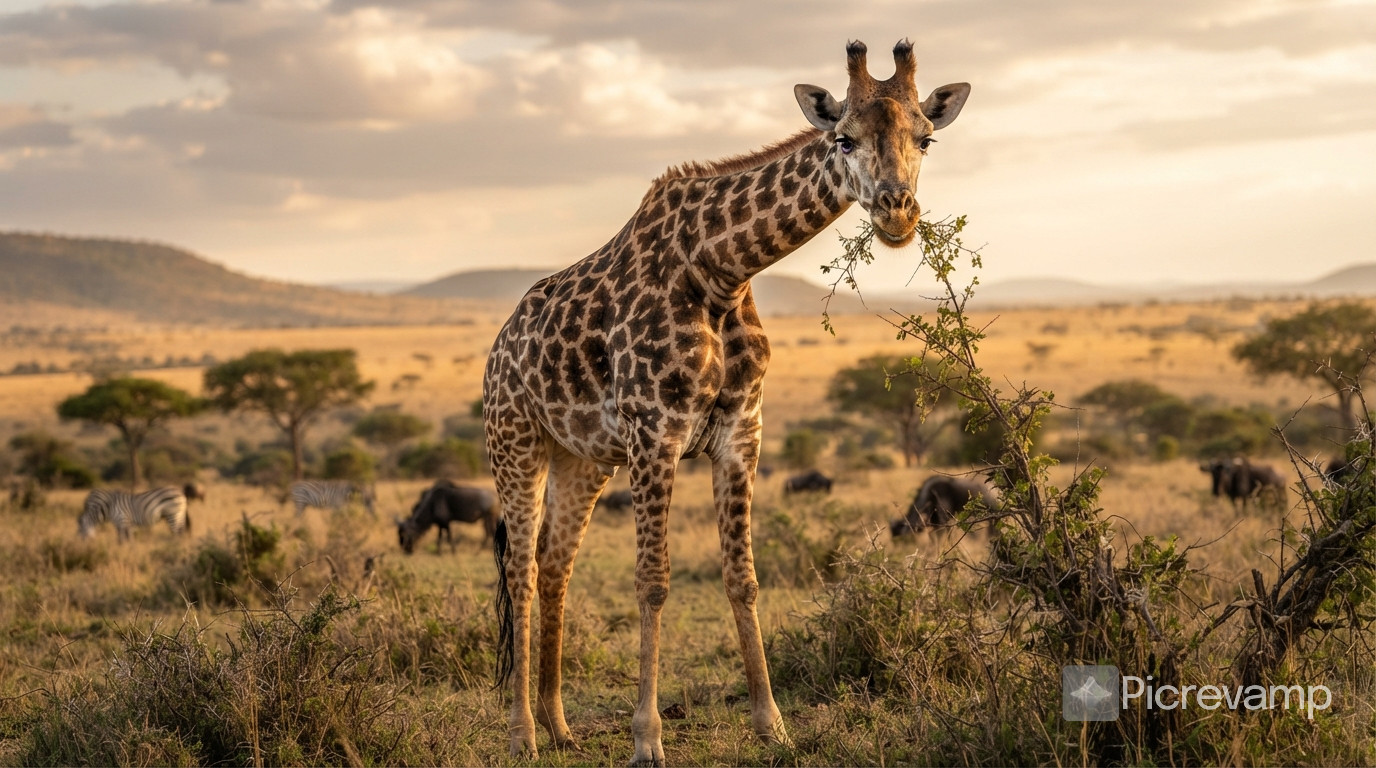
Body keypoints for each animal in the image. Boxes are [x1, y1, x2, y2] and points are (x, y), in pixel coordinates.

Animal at [483, 39, 969, 765]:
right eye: (844, 137)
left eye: (926, 138)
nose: (897, 213)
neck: (721, 271)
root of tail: (499, 342)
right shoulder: (656, 433)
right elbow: (653, 581)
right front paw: (647, 739)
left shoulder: (743, 432)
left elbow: (743, 577)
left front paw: (773, 725)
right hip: (516, 441)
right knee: (518, 566)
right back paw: (522, 734)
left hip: (583, 459)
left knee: (553, 563)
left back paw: (559, 723)